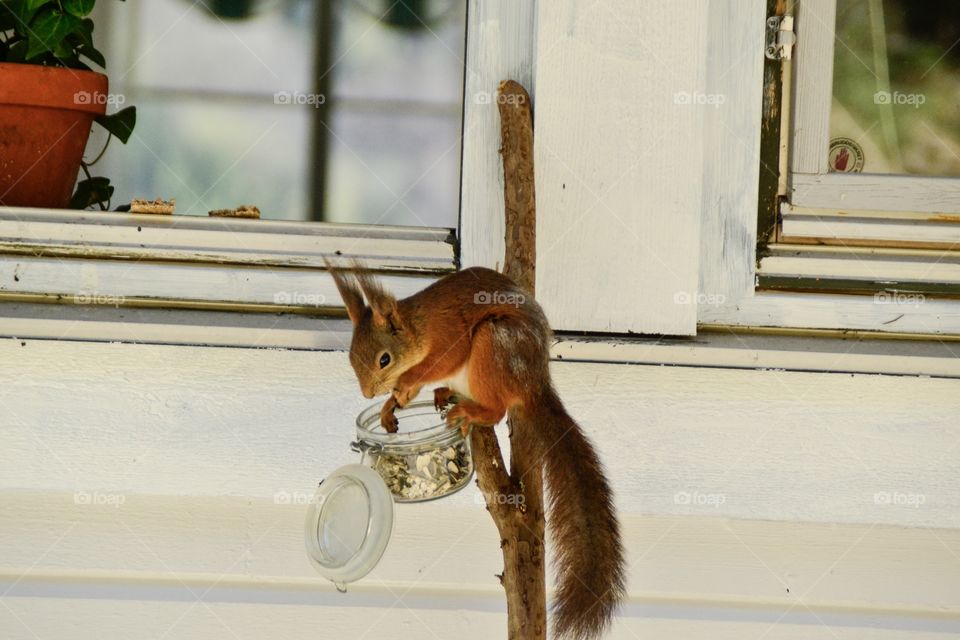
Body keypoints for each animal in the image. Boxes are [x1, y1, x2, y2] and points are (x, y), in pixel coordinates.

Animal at [330, 262, 632, 640]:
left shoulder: (450, 336)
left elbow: (441, 361)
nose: (368, 393)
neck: (419, 327)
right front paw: (388, 408)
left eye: (384, 359)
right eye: (351, 357)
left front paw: (405, 383)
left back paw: (473, 412)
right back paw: (444, 395)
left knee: (499, 409)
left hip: (494, 342)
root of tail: (533, 384)